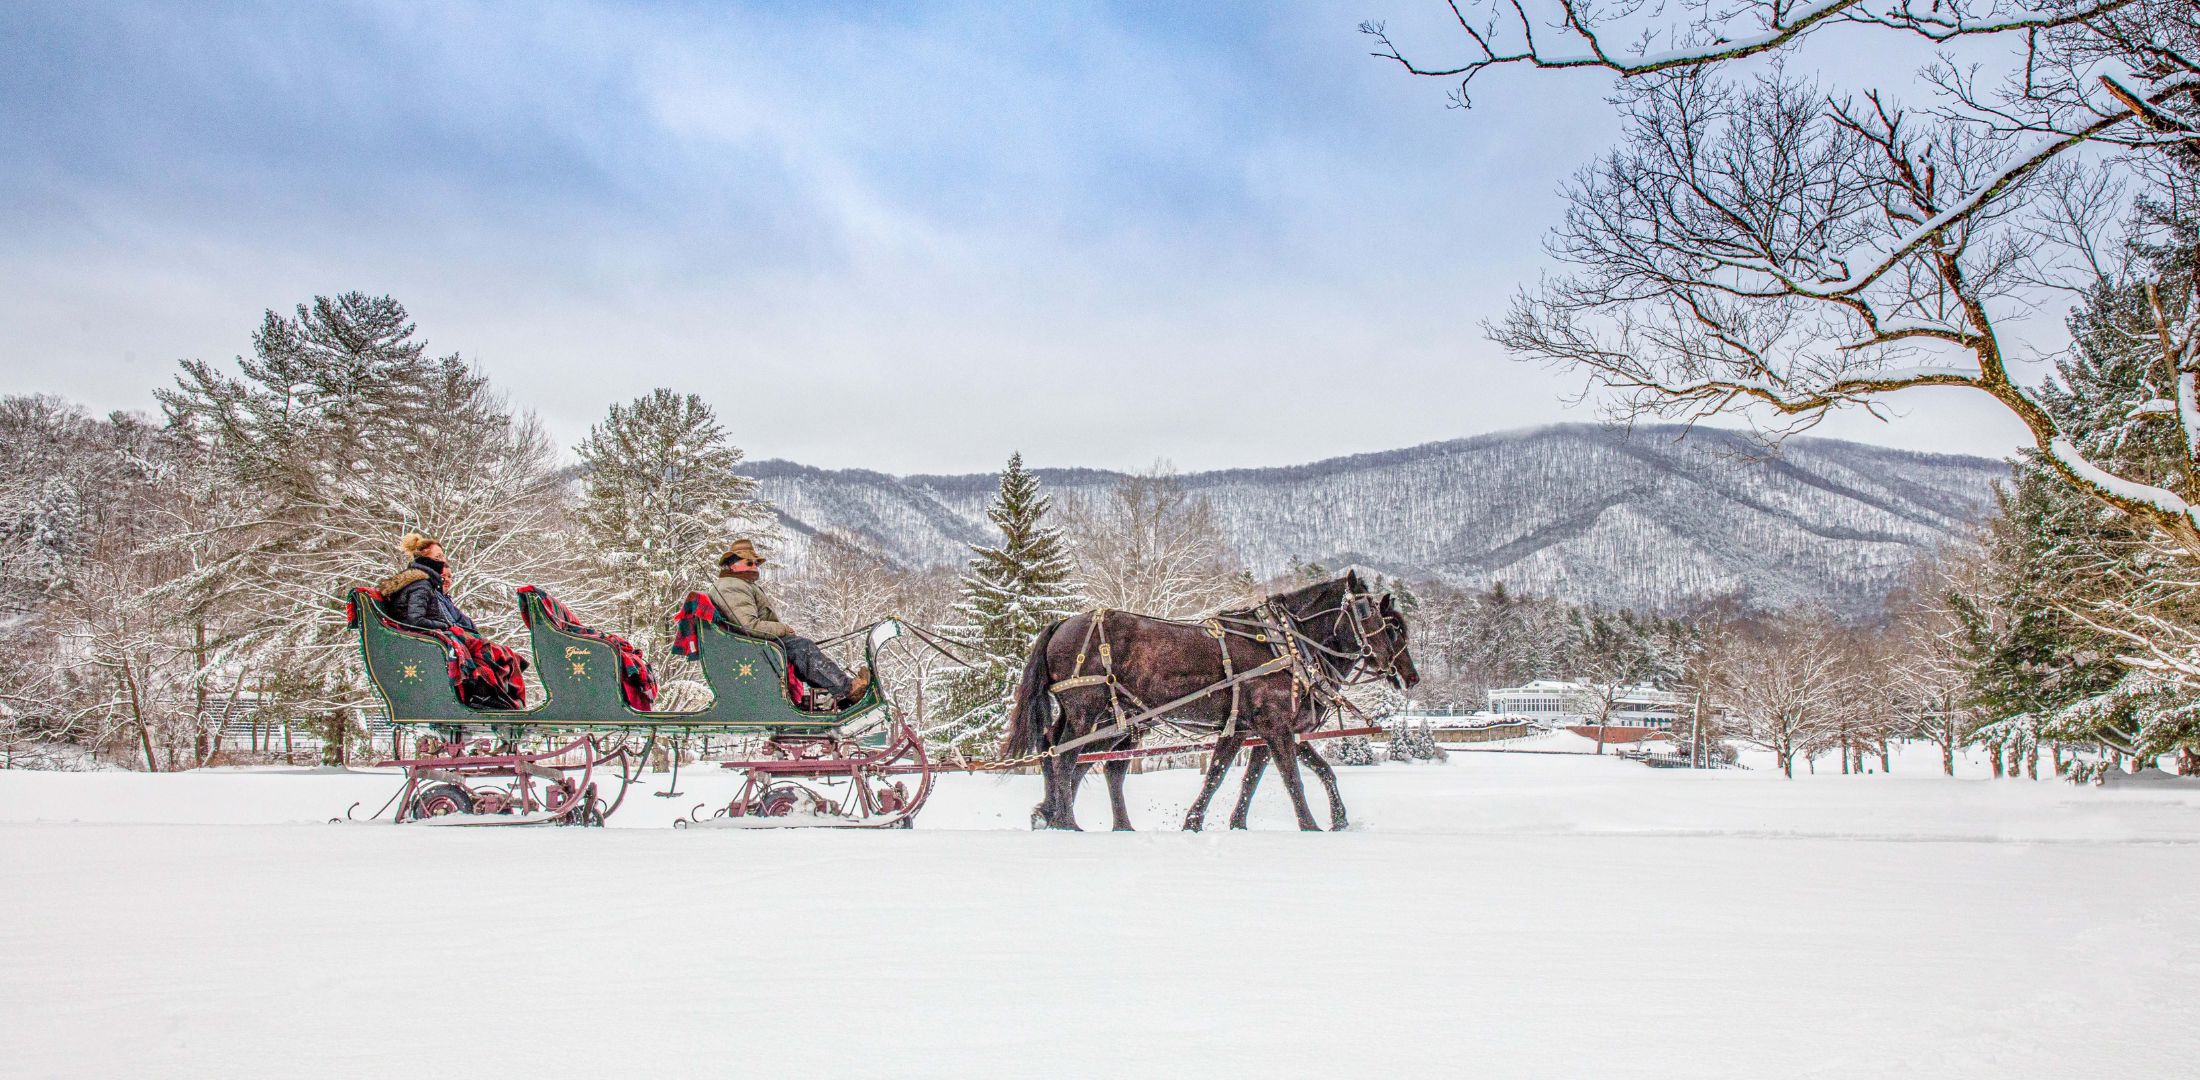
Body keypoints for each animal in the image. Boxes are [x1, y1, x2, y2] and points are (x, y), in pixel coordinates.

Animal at [1003, 576, 1416, 835]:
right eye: (1382, 621)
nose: (1410, 677)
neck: (1286, 643)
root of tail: (1062, 624)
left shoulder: (1251, 730)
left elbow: (1236, 776)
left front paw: (1210, 823)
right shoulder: (1275, 726)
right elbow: (1292, 778)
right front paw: (1310, 825)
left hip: (1115, 721)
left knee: (1084, 762)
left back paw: (1075, 818)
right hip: (1087, 713)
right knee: (1063, 758)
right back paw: (1065, 821)